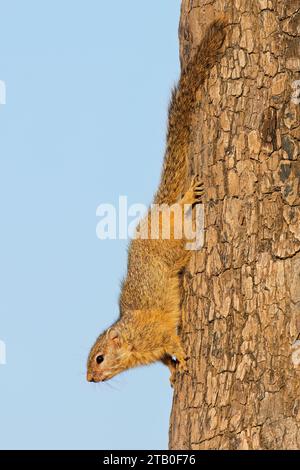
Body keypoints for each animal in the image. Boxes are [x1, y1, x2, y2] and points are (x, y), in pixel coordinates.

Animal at [88, 19, 226, 386]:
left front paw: (186, 357)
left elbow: (172, 340)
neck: (133, 343)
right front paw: (174, 372)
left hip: (171, 247)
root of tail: (155, 212)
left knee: (179, 218)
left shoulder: (157, 332)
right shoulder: (154, 350)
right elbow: (166, 358)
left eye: (100, 358)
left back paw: (187, 198)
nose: (90, 379)